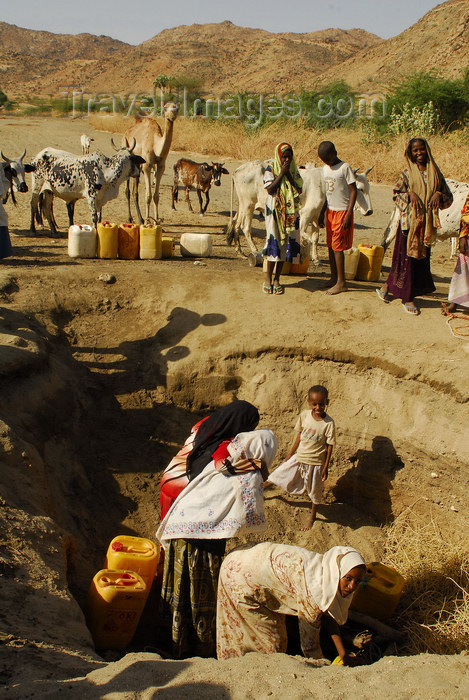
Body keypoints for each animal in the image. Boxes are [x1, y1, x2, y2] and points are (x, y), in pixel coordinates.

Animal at [227, 161, 372, 266]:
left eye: (368, 188)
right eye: (360, 189)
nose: (369, 211)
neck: (325, 184)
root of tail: (238, 170)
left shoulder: (316, 218)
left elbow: (315, 238)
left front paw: (316, 259)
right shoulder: (305, 216)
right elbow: (305, 236)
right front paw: (302, 253)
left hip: (243, 206)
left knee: (235, 224)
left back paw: (240, 251)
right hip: (248, 206)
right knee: (245, 227)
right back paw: (255, 251)